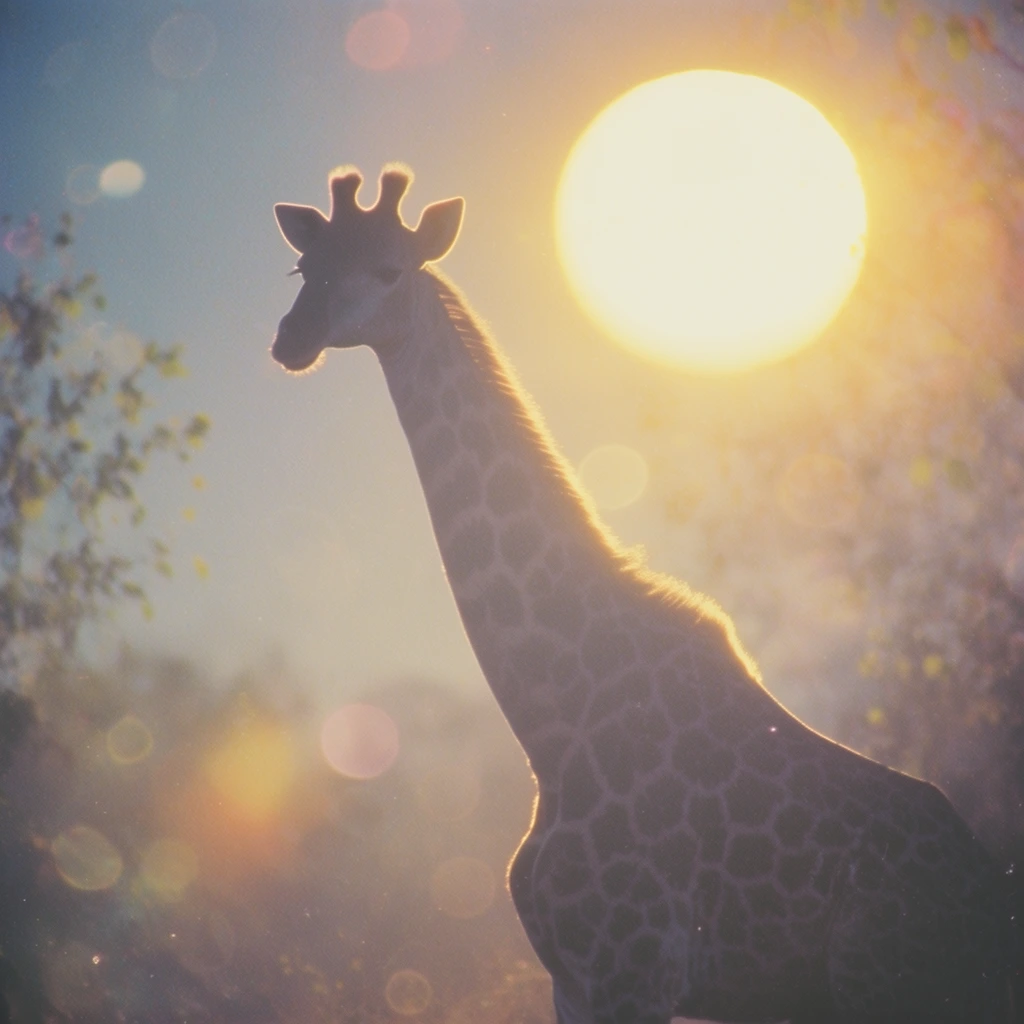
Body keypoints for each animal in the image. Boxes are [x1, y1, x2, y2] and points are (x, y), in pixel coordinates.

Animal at [270, 165, 1016, 1023]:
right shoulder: (571, 981)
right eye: (304, 267)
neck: (551, 721)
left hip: (882, 988)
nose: (291, 339)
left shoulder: (634, 969)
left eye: (390, 269)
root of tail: (992, 911)